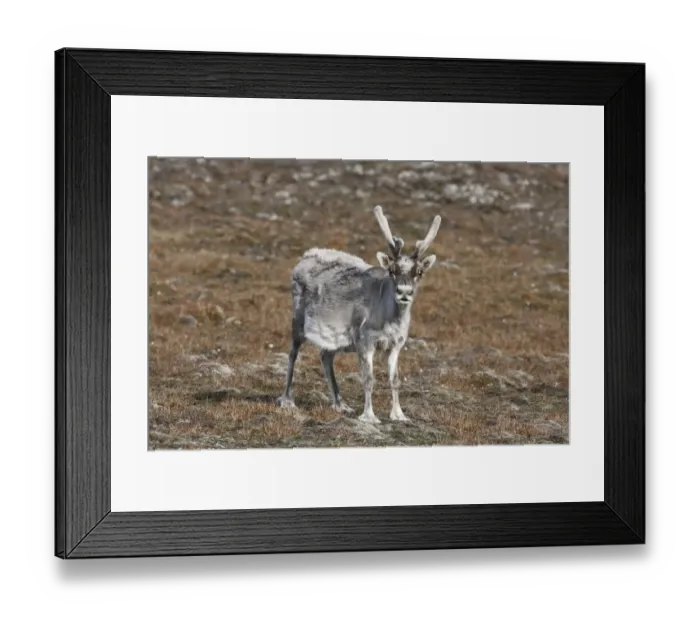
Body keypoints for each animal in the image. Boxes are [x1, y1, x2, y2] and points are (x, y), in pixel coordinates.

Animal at [275, 205, 441, 424]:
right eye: (392, 270)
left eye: (419, 272)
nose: (404, 292)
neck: (390, 319)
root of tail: (304, 257)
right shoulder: (365, 341)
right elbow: (368, 378)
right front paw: (369, 415)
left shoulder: (396, 344)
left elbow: (395, 379)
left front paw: (399, 414)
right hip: (297, 320)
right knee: (293, 353)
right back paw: (287, 399)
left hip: (337, 339)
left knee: (325, 356)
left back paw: (340, 404)